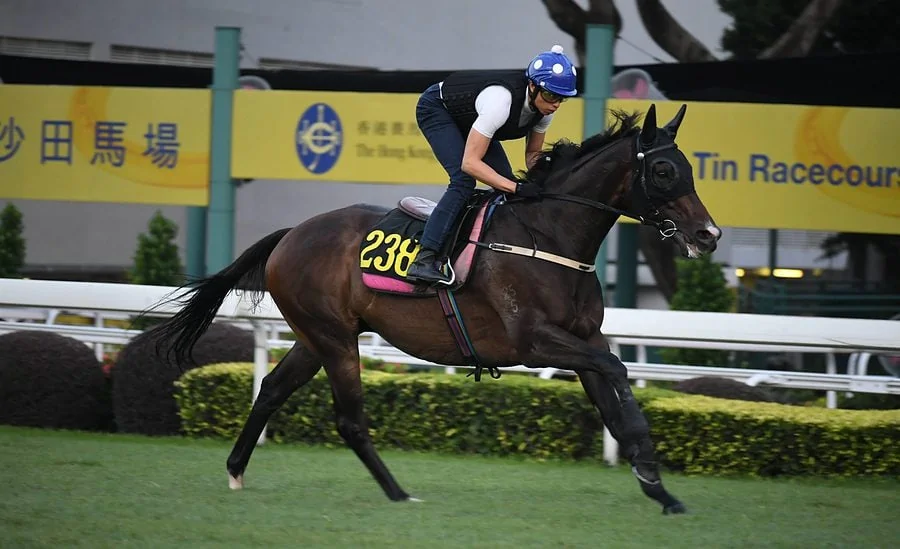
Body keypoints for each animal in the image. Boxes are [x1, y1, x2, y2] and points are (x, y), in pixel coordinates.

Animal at [149, 103, 720, 515]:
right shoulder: (536, 341)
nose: (708, 235)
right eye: (663, 169)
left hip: (318, 337)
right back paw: (398, 491)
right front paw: (649, 471)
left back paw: (236, 468)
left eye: (690, 167)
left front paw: (659, 489)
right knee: (349, 420)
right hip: (334, 339)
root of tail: (291, 234)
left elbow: (615, 403)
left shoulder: (586, 338)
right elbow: (618, 371)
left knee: (270, 389)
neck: (549, 235)